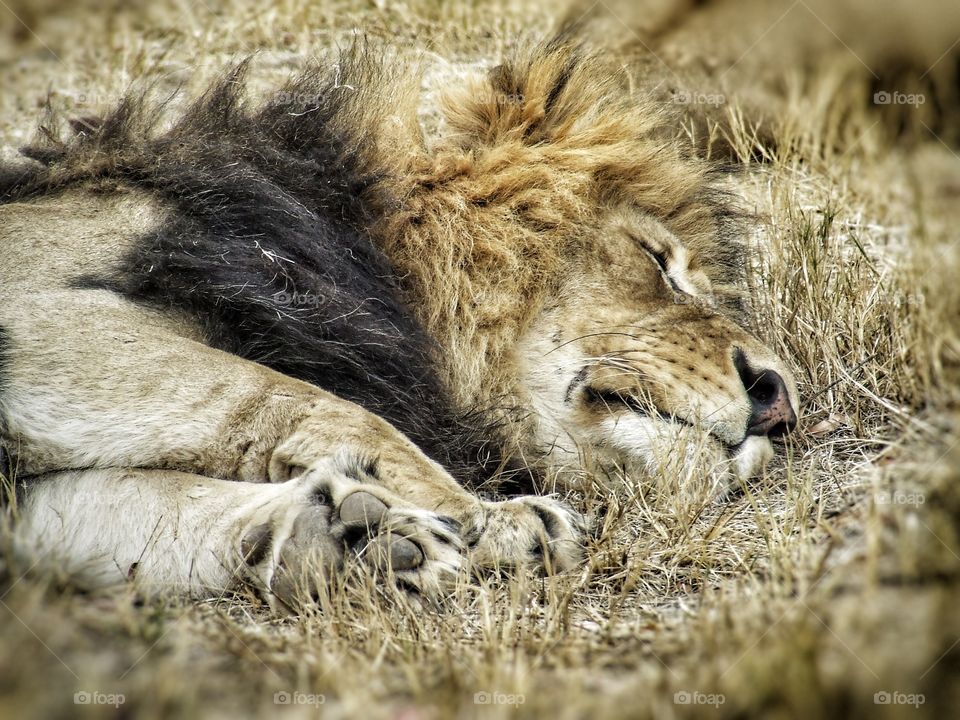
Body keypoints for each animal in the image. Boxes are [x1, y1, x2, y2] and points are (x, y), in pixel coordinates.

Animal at [0, 40, 797, 611]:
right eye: (658, 262)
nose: (779, 403)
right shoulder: (35, 307)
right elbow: (306, 402)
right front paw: (479, 519)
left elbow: (125, 512)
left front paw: (346, 537)